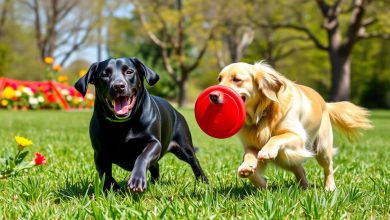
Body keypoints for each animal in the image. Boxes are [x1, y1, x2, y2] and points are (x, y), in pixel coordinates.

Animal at [76, 57, 209, 192]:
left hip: (185, 148)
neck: (123, 124)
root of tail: (176, 111)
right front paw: (115, 190)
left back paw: (204, 182)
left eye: (129, 72)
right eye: (105, 75)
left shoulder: (154, 143)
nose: (118, 86)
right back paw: (154, 182)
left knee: (194, 162)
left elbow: (143, 157)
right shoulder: (100, 154)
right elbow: (105, 175)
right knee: (156, 166)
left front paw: (137, 180)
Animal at [215, 61, 374, 190]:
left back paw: (329, 187)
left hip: (321, 149)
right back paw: (303, 187)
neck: (264, 113)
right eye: (219, 79)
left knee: (328, 168)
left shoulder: (297, 137)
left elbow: (276, 138)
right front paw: (253, 174)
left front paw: (267, 151)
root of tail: (325, 103)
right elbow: (249, 161)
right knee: (300, 170)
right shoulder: (251, 145)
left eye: (237, 79)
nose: (213, 95)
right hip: (285, 159)